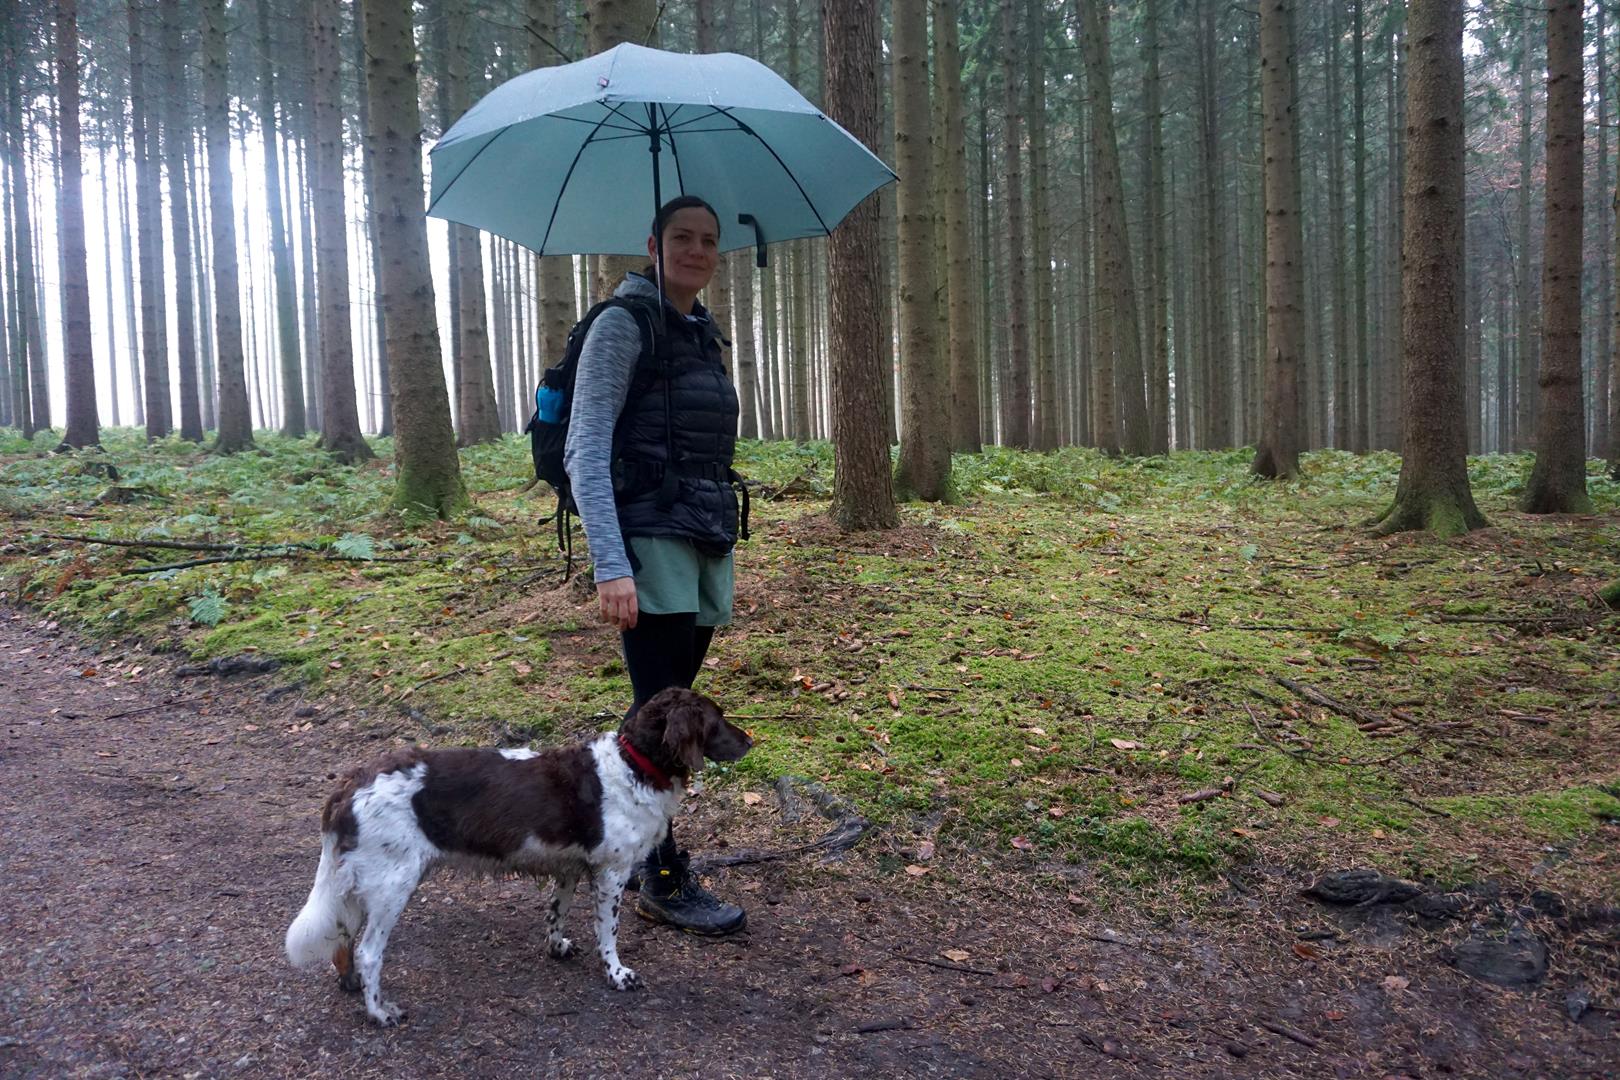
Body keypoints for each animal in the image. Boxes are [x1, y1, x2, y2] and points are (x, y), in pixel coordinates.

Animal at [286, 689, 751, 1029]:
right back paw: (380, 1012)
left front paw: (557, 947)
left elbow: (556, 914)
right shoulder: (611, 874)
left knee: (343, 938)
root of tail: (351, 783)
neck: (633, 765)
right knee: (368, 952)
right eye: (716, 718)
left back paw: (350, 984)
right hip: (393, 883)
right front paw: (617, 974)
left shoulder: (569, 869)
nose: (751, 740)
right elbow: (609, 933)